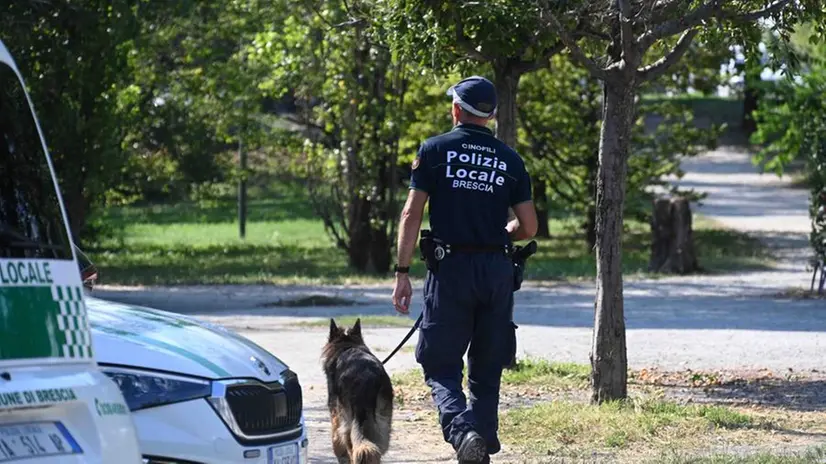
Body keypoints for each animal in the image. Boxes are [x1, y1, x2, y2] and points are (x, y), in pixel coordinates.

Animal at [320, 320, 392, 464]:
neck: (347, 346)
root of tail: (367, 376)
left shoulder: (335, 414)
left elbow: (336, 439)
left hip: (348, 419)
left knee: (353, 447)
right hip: (383, 421)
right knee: (378, 447)